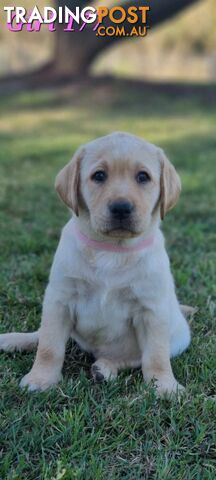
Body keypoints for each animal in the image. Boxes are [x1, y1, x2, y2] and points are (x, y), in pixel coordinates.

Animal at [0, 131, 192, 394]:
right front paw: (41, 379)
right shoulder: (59, 300)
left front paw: (165, 386)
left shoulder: (152, 310)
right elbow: (49, 346)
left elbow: (155, 355)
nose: (121, 207)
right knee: (42, 334)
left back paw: (105, 368)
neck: (111, 249)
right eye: (99, 175)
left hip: (179, 339)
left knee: (133, 358)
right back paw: (14, 339)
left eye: (143, 177)